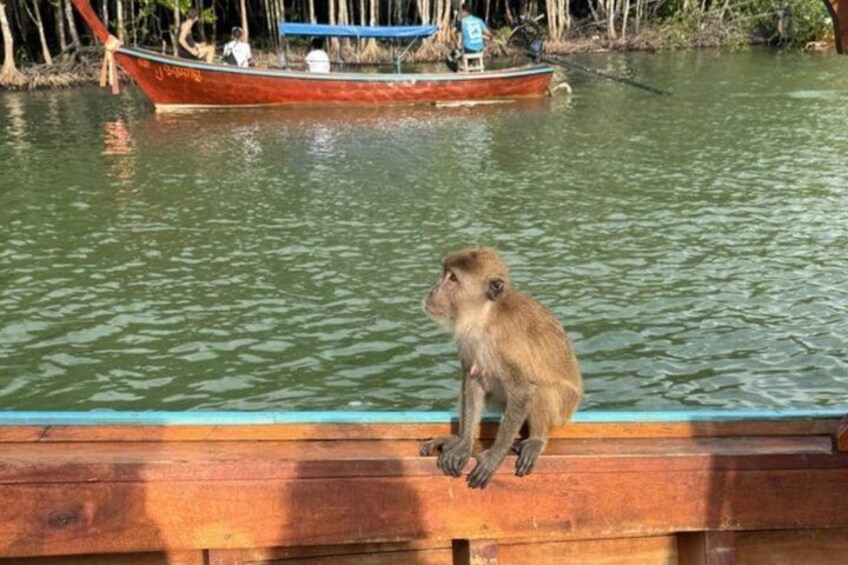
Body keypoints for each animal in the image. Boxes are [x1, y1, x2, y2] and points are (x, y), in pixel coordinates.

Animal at [419, 247, 582, 489]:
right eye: (445, 274)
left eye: (453, 278)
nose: (432, 291)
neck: (486, 316)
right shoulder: (470, 339)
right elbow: (472, 381)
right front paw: (464, 444)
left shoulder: (506, 344)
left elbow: (522, 391)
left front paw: (494, 457)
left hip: (564, 407)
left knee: (540, 390)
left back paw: (536, 440)